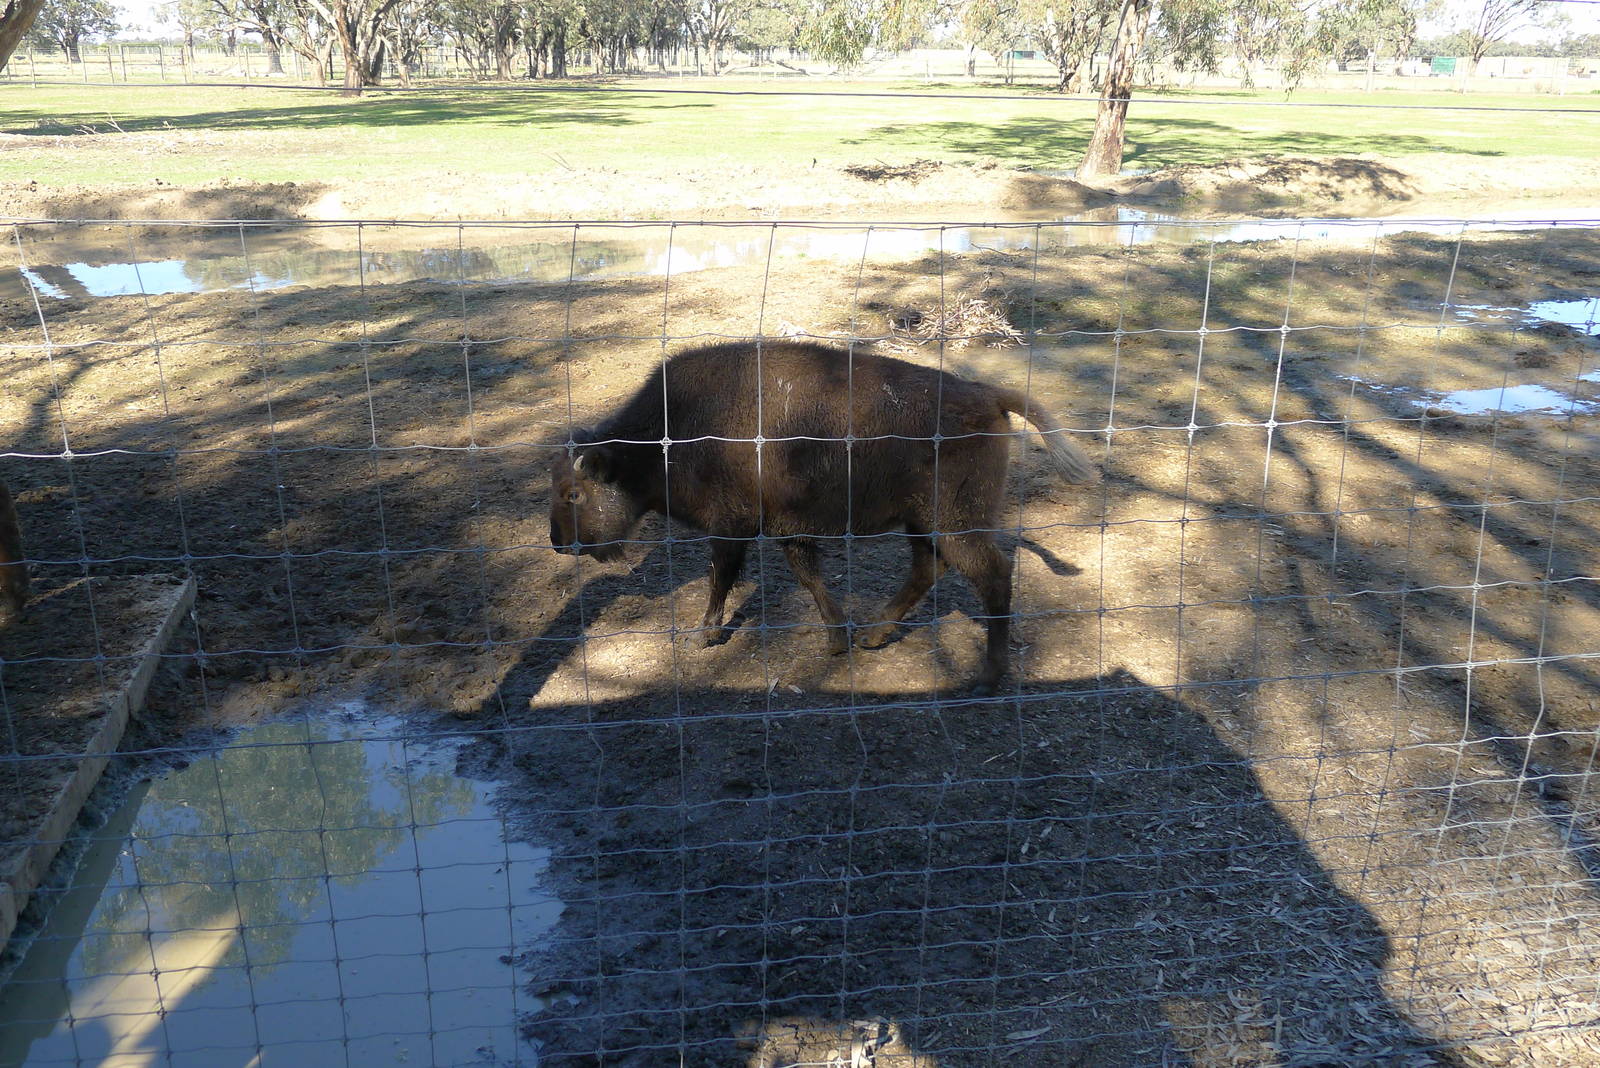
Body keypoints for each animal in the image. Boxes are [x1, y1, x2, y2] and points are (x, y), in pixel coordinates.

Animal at [549, 341, 1097, 694]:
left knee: (992, 573)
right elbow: (809, 577)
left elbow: (721, 576)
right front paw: (836, 641)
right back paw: (875, 635)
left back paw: (987, 677)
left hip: (954, 521)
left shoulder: (732, 527)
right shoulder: (786, 529)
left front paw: (705, 634)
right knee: (930, 568)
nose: (557, 541)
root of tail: (987, 394)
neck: (665, 433)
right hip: (923, 522)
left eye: (574, 493)